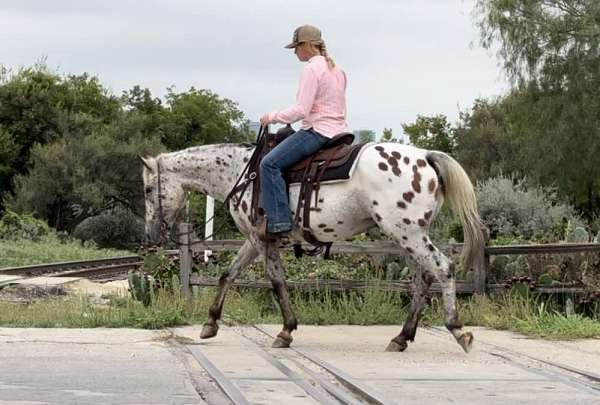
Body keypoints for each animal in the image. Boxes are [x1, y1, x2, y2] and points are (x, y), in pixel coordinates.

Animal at [139, 140, 482, 350]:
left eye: (147, 189)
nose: (151, 233)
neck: (241, 173)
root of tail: (425, 157)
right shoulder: (254, 239)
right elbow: (228, 274)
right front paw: (210, 324)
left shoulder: (263, 240)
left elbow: (277, 282)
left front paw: (286, 331)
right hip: (406, 236)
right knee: (422, 278)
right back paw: (401, 337)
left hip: (407, 233)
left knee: (443, 268)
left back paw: (457, 329)